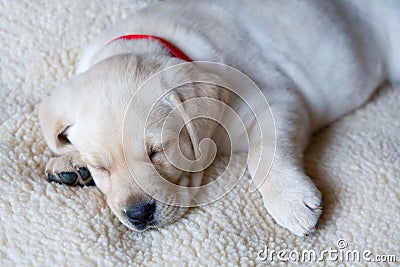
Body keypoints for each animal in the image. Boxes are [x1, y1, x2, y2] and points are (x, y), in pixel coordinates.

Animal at [39, 0, 400, 239]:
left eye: (158, 152)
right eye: (102, 167)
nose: (138, 214)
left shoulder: (275, 99)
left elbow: (263, 149)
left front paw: (290, 201)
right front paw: (72, 163)